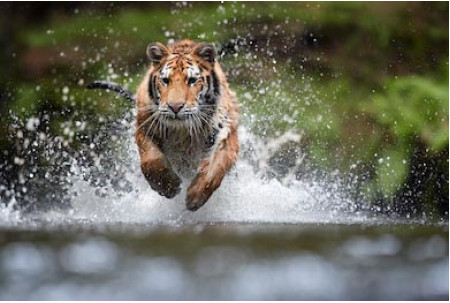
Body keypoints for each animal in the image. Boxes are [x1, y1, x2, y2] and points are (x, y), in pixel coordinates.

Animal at [134, 39, 239, 211]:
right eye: (166, 80)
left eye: (191, 80)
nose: (175, 107)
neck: (181, 131)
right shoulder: (144, 126)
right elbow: (150, 161)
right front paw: (168, 187)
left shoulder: (226, 132)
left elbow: (215, 167)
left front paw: (195, 197)